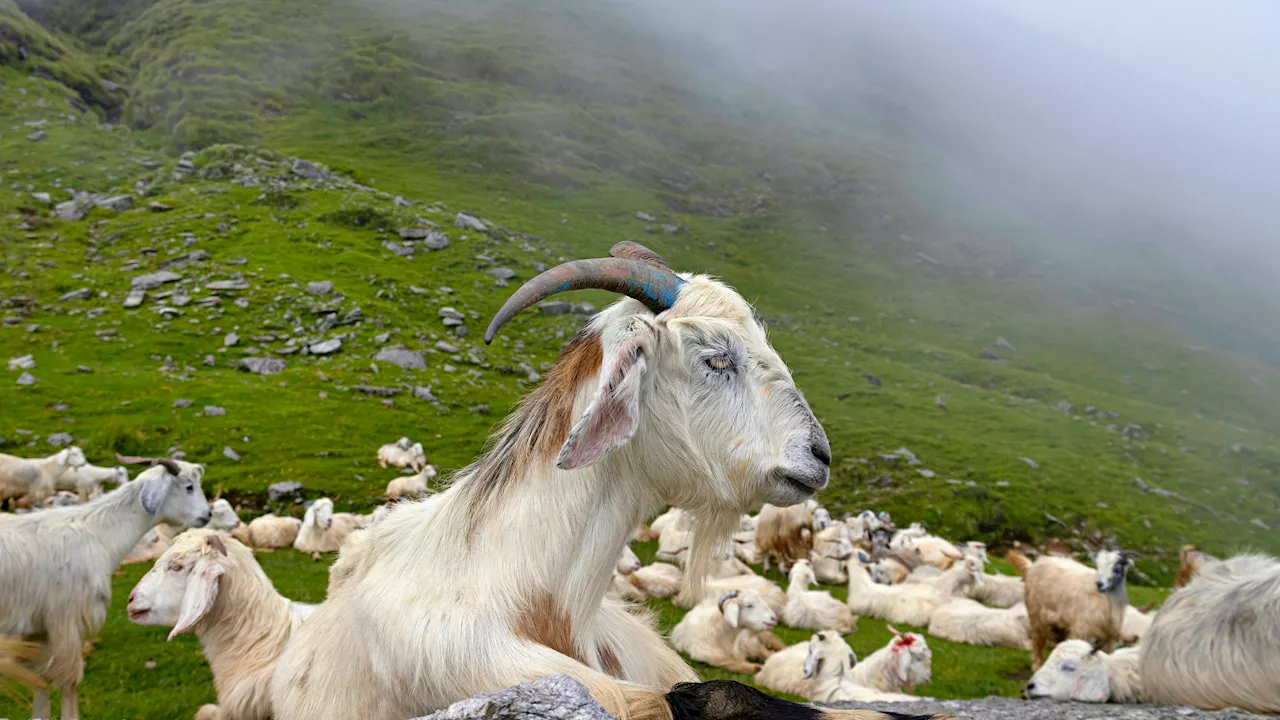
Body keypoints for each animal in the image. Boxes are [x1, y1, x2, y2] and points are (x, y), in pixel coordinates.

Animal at [0, 456, 207, 717]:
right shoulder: (67, 620)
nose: (207, 514)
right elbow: (69, 682)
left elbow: (40, 681)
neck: (99, 533)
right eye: (189, 486)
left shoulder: (38, 629)